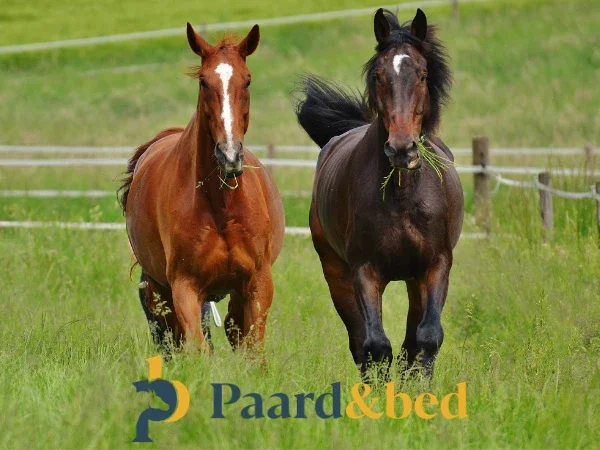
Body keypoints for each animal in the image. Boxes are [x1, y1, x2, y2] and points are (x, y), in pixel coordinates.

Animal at [118, 23, 285, 354]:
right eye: (204, 82)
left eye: (247, 80)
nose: (229, 155)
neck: (221, 206)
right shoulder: (185, 287)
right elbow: (198, 348)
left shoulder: (258, 284)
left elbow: (252, 350)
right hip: (161, 291)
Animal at [295, 8, 463, 377]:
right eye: (379, 75)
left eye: (422, 74)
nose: (401, 148)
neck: (402, 197)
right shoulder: (364, 271)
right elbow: (375, 345)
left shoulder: (436, 265)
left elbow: (427, 337)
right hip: (337, 274)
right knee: (360, 341)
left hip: (414, 280)